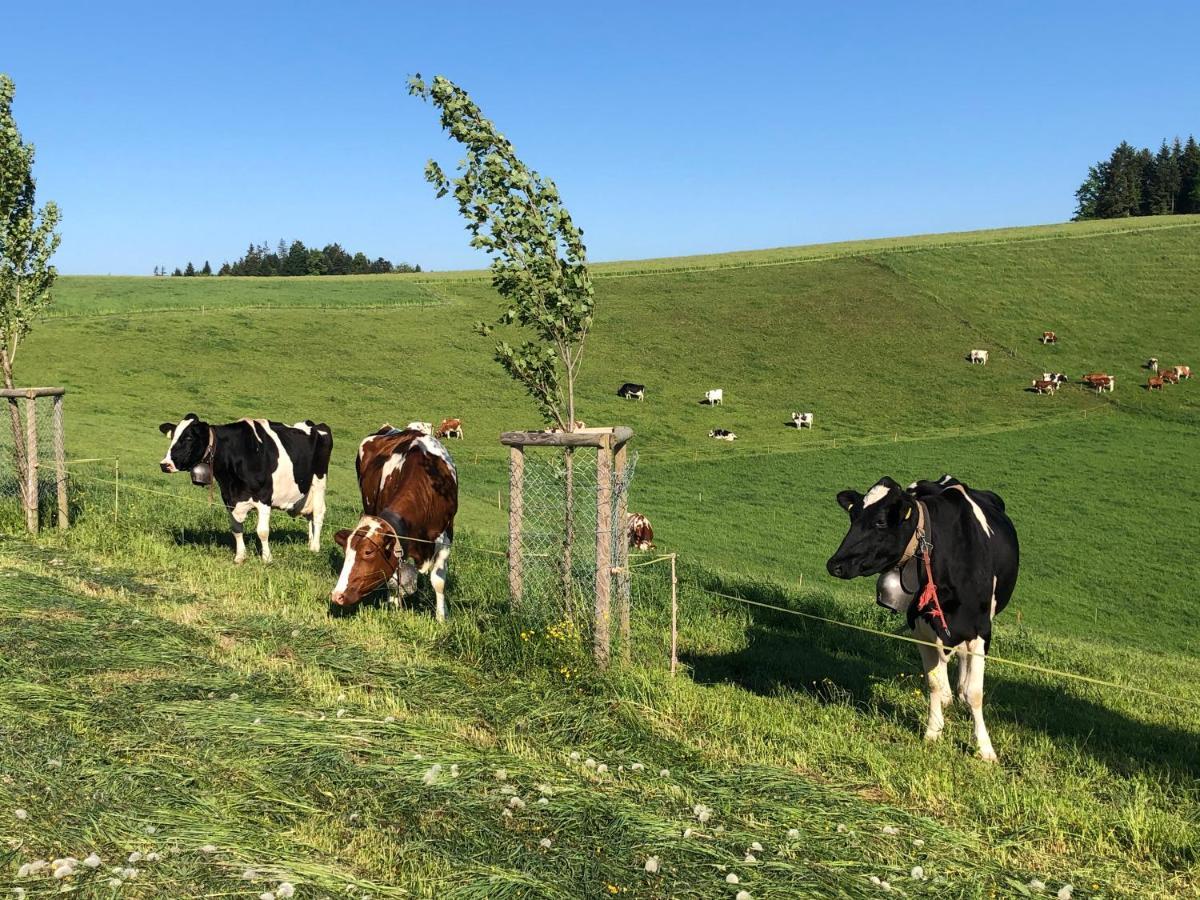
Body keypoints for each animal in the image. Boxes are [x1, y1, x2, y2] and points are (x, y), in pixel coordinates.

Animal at [157, 415, 333, 564]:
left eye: (188, 437)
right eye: (172, 436)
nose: (164, 464)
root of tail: (313, 424)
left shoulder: (264, 497)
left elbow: (262, 531)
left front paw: (267, 558)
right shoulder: (229, 498)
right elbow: (236, 529)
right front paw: (240, 556)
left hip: (319, 482)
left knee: (318, 515)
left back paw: (314, 548)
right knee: (309, 516)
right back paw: (310, 543)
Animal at [333, 427, 458, 624]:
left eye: (368, 552)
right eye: (346, 551)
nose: (337, 595)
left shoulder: (446, 536)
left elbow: (438, 580)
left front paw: (441, 618)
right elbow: (395, 578)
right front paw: (394, 606)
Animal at [825, 475, 1022, 763]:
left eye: (880, 521)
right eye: (853, 516)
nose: (835, 564)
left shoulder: (981, 630)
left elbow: (975, 693)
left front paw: (985, 748)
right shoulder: (921, 629)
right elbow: (934, 682)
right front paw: (933, 731)